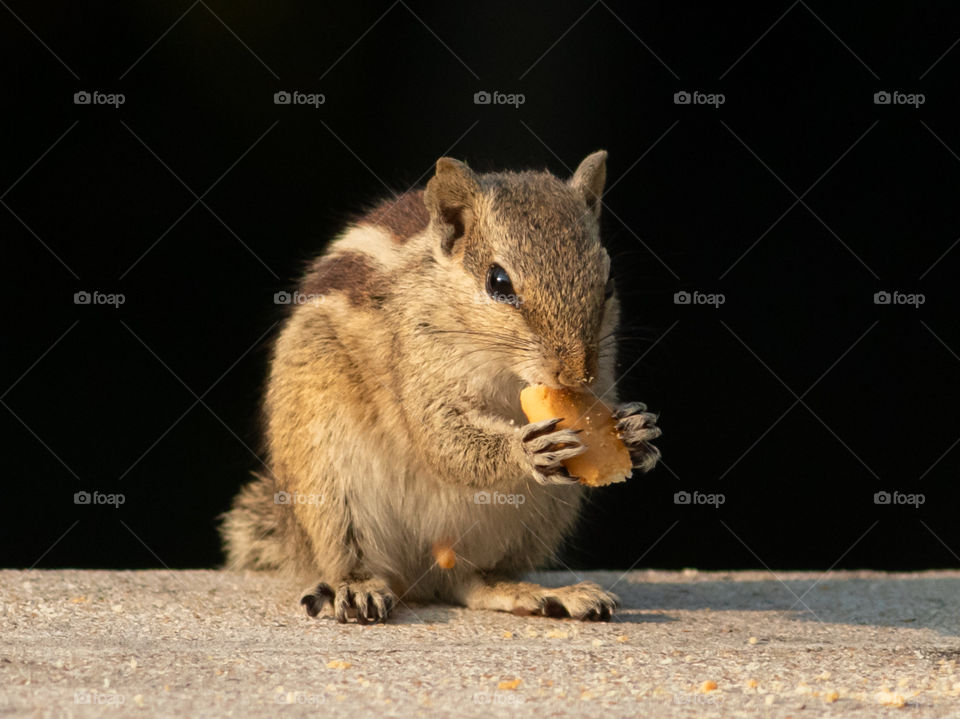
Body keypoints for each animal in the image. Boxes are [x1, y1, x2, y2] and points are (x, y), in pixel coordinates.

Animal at [220, 151, 661, 623]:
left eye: (608, 284)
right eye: (498, 282)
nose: (576, 374)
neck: (507, 372)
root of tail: (422, 573)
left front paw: (636, 430)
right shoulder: (420, 370)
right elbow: (444, 440)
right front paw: (525, 450)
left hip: (537, 518)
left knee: (473, 582)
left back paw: (542, 594)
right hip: (326, 480)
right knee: (352, 557)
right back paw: (355, 588)